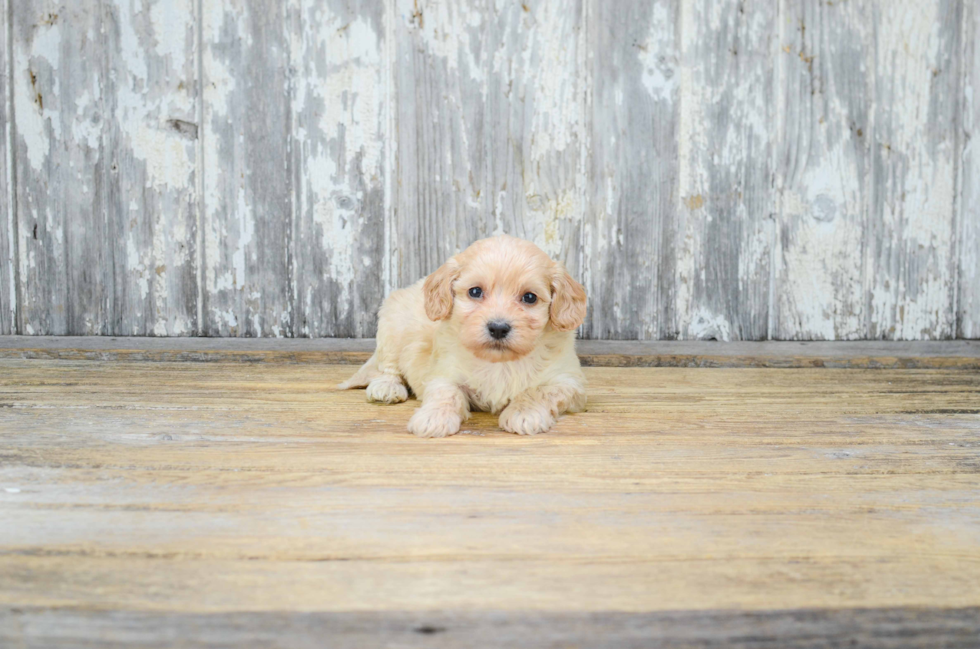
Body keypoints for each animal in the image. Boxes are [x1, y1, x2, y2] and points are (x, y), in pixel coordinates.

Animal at [340, 235, 584, 438]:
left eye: (530, 297)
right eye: (475, 292)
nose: (498, 328)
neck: (500, 362)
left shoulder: (568, 381)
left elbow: (540, 390)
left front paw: (523, 413)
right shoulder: (444, 372)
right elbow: (446, 393)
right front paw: (433, 418)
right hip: (392, 325)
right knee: (388, 366)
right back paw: (387, 387)